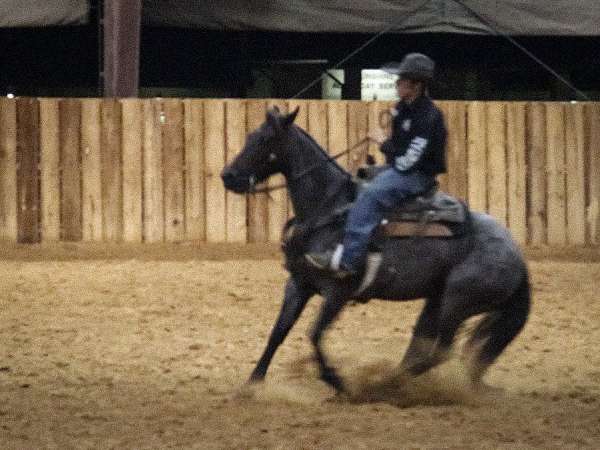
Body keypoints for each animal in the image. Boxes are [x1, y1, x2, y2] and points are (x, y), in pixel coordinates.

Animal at [221, 105, 528, 394]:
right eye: (249, 136)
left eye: (265, 139)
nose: (228, 175)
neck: (327, 209)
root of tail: (518, 256)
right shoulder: (299, 283)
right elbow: (278, 333)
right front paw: (250, 386)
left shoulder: (338, 293)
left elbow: (314, 335)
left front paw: (337, 381)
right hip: (436, 301)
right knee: (422, 347)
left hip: (457, 303)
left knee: (440, 352)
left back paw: (383, 385)